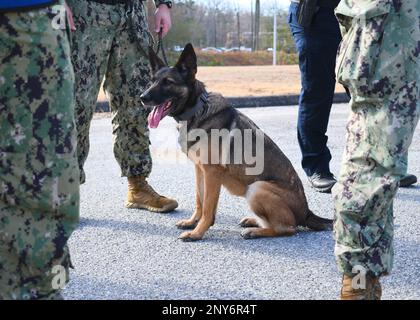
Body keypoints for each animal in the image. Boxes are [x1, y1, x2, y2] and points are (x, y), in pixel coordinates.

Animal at [140, 43, 332, 241]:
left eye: (168, 82)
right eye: (152, 81)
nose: (142, 98)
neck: (198, 110)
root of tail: (307, 212)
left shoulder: (212, 173)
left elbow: (208, 207)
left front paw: (197, 233)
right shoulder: (200, 170)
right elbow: (199, 199)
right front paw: (192, 222)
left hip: (257, 188)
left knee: (288, 228)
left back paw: (255, 231)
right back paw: (253, 221)